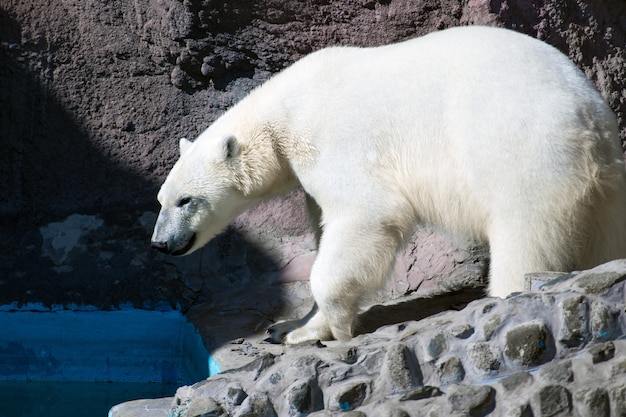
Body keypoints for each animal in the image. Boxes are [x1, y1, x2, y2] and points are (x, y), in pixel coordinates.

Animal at [150, 26, 624, 344]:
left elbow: (365, 214)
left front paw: (324, 329)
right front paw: (291, 326)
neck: (281, 114)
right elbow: (326, 225)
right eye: (161, 199)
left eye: (185, 200)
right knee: (603, 234)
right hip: (605, 182)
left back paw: (504, 295)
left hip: (521, 149)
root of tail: (587, 121)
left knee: (523, 231)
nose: (160, 243)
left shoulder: (331, 140)